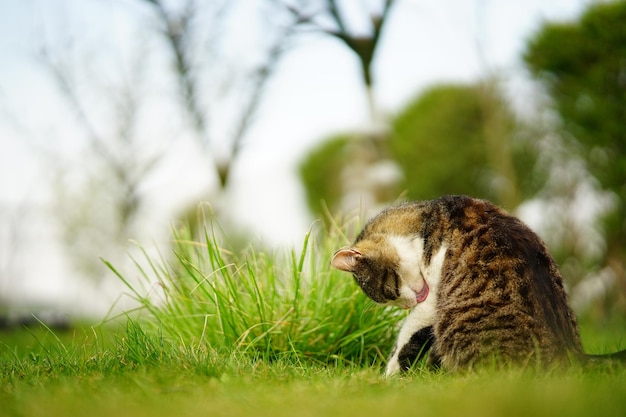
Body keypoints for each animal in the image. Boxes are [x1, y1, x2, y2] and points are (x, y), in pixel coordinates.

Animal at [332, 195, 624, 374]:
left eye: (389, 291)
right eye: (391, 298)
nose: (408, 304)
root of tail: (573, 354)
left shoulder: (431, 304)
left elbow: (405, 338)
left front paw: (389, 377)